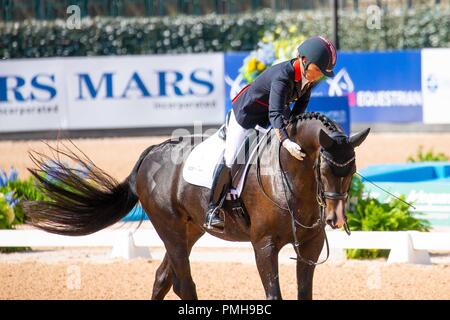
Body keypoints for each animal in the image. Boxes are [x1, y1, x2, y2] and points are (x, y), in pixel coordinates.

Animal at [23, 112, 370, 300]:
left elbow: (304, 293)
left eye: (352, 169)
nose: (336, 219)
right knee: (183, 283)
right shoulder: (264, 245)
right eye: (324, 169)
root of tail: (150, 154)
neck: (290, 174)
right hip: (171, 229)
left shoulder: (310, 244)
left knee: (164, 278)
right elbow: (274, 293)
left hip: (189, 231)